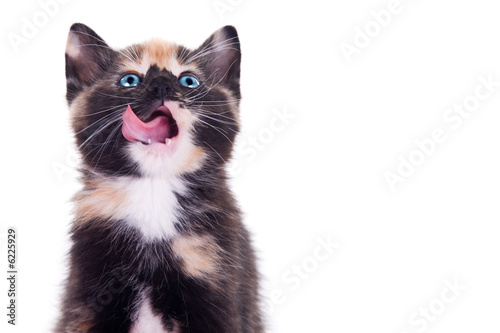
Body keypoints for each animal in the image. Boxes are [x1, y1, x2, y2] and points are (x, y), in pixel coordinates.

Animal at [55, 23, 262, 332]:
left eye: (189, 81)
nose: (162, 84)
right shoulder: (89, 296)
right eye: (130, 80)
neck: (154, 191)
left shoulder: (216, 279)